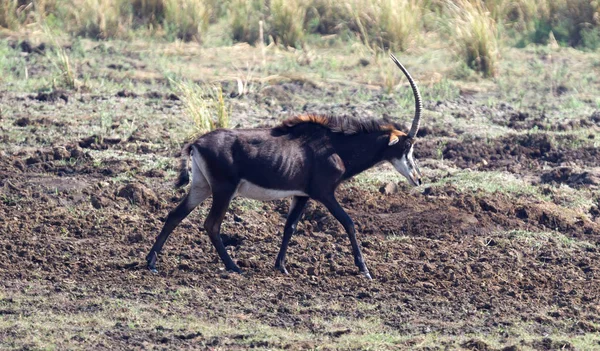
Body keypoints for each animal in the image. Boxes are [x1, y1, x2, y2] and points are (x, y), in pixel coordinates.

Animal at [147, 54, 424, 280]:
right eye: (406, 146)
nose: (418, 179)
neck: (335, 146)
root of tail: (196, 143)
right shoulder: (324, 193)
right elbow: (349, 223)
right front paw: (364, 270)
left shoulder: (302, 195)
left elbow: (289, 227)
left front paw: (281, 266)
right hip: (223, 190)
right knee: (211, 225)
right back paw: (234, 267)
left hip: (201, 186)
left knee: (175, 215)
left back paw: (151, 262)